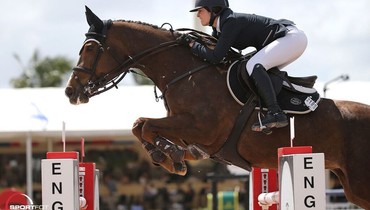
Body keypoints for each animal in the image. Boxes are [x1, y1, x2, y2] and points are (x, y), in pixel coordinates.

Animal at [65, 6, 370, 208]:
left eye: (89, 48)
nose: (71, 91)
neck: (186, 73)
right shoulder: (190, 134)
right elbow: (140, 126)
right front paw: (172, 156)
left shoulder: (201, 129)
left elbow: (144, 123)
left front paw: (168, 157)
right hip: (352, 186)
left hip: (359, 182)